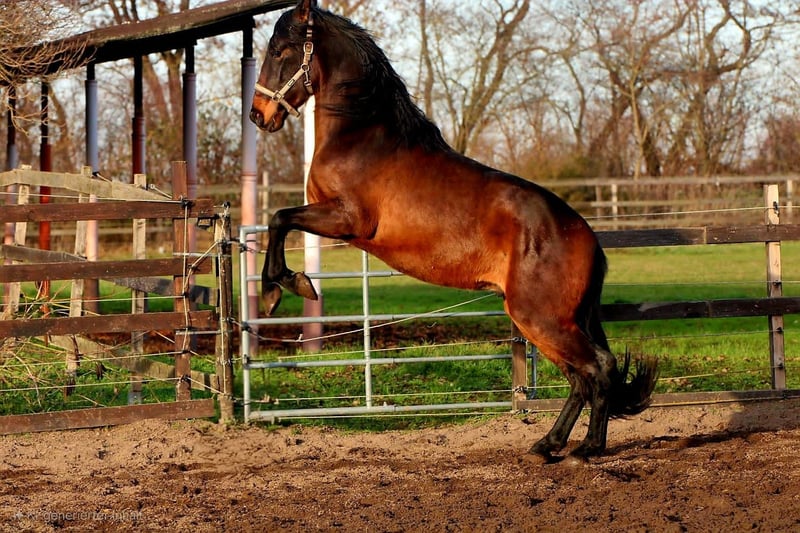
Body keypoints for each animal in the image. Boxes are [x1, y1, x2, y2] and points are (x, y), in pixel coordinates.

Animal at [249, 0, 658, 461]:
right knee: (582, 378)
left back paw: (585, 448)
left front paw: (280, 288)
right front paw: (285, 286)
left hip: (541, 319)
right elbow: (280, 219)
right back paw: (549, 444)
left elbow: (279, 217)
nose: (259, 114)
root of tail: (586, 240)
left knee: (596, 370)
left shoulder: (347, 219)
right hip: (549, 321)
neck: (362, 137)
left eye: (279, 51)